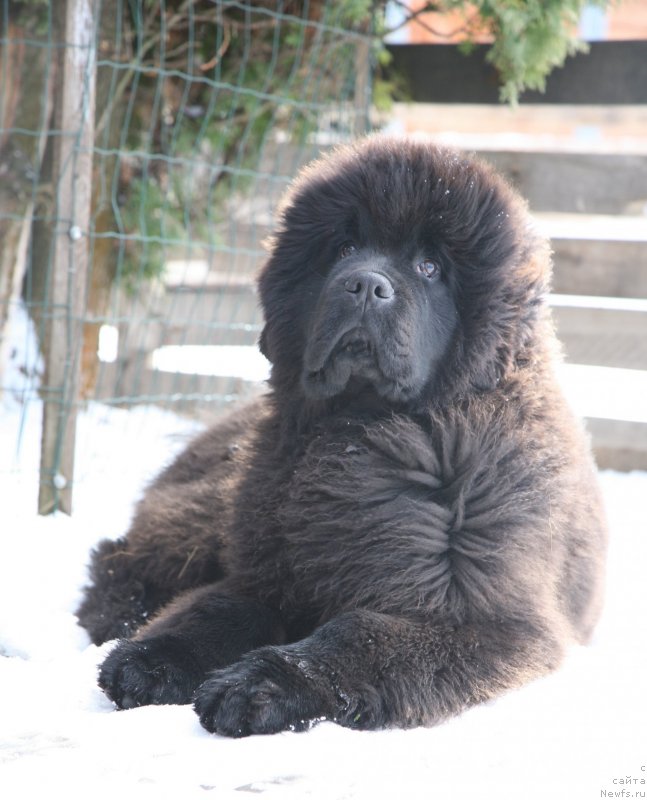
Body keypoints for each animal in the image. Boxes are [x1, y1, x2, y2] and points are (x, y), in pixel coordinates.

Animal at [77, 133, 608, 736]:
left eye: (430, 266)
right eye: (343, 249)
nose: (365, 283)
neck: (359, 433)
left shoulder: (483, 619)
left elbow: (359, 634)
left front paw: (258, 686)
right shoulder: (266, 572)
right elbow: (219, 609)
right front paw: (151, 659)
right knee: (119, 555)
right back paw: (121, 618)